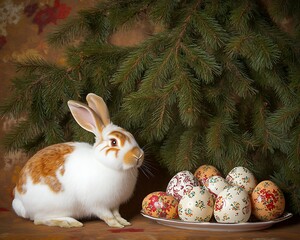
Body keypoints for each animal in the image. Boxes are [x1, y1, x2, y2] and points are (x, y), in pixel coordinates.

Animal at [12, 93, 146, 228]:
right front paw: (116, 225)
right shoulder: (98, 204)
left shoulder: (114, 204)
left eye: (131, 135)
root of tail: (20, 201)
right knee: (39, 220)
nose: (138, 155)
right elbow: (107, 216)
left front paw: (124, 222)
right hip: (53, 207)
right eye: (113, 142)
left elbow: (116, 214)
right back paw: (69, 222)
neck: (106, 164)